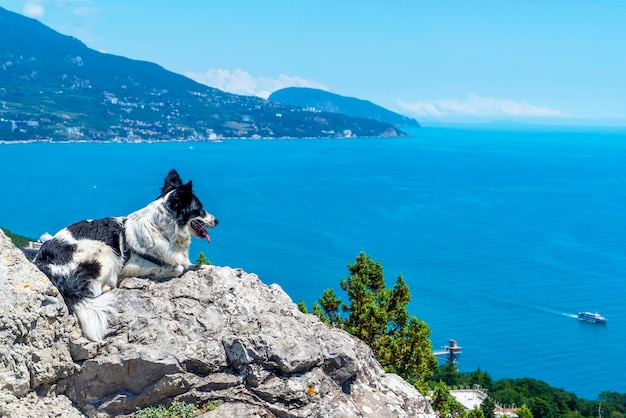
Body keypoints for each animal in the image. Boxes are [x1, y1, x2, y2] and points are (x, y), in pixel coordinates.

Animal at [35, 168, 219, 342]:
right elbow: (178, 268)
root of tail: (43, 261)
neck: (163, 229)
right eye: (200, 209)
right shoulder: (133, 267)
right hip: (105, 251)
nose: (217, 221)